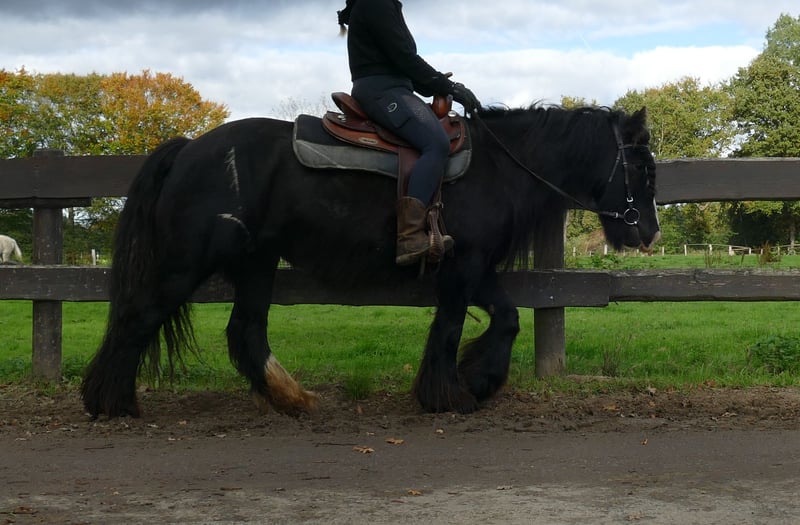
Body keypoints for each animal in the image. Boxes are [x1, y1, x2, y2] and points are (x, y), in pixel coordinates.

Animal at [81, 104, 660, 418]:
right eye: (641, 167)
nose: (648, 231)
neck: (500, 166)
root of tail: (188, 149)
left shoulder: (474, 268)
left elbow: (508, 318)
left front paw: (478, 379)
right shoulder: (462, 269)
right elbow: (451, 328)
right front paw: (448, 393)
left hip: (256, 264)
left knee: (245, 333)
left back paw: (292, 398)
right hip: (186, 264)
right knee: (137, 317)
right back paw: (110, 401)